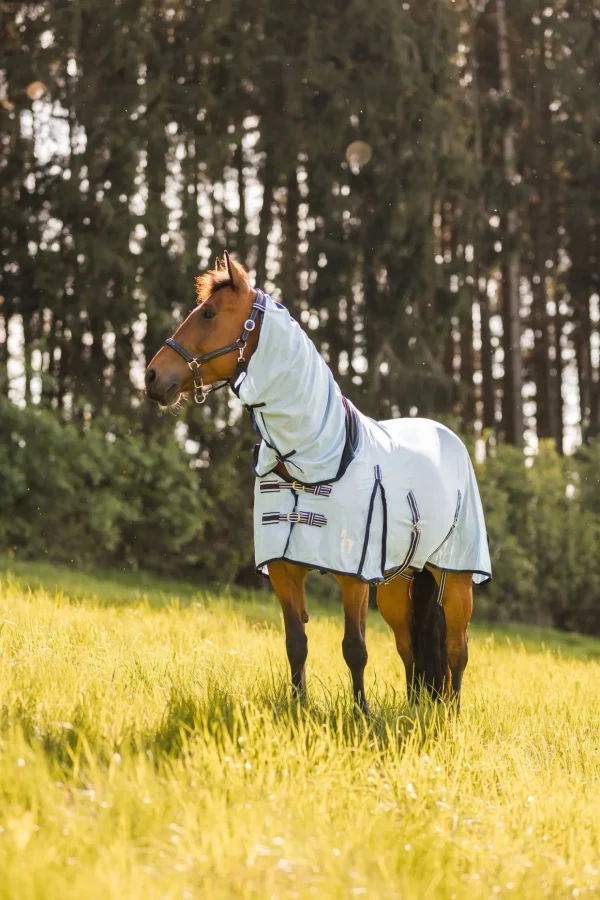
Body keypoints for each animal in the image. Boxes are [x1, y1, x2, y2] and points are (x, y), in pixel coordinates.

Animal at [145, 251, 492, 712]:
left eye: (209, 314)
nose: (152, 377)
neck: (313, 458)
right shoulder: (284, 570)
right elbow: (297, 642)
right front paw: (299, 706)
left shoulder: (353, 577)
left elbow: (355, 648)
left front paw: (360, 712)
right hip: (398, 585)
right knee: (408, 646)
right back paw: (416, 708)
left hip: (456, 578)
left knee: (457, 649)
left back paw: (449, 713)